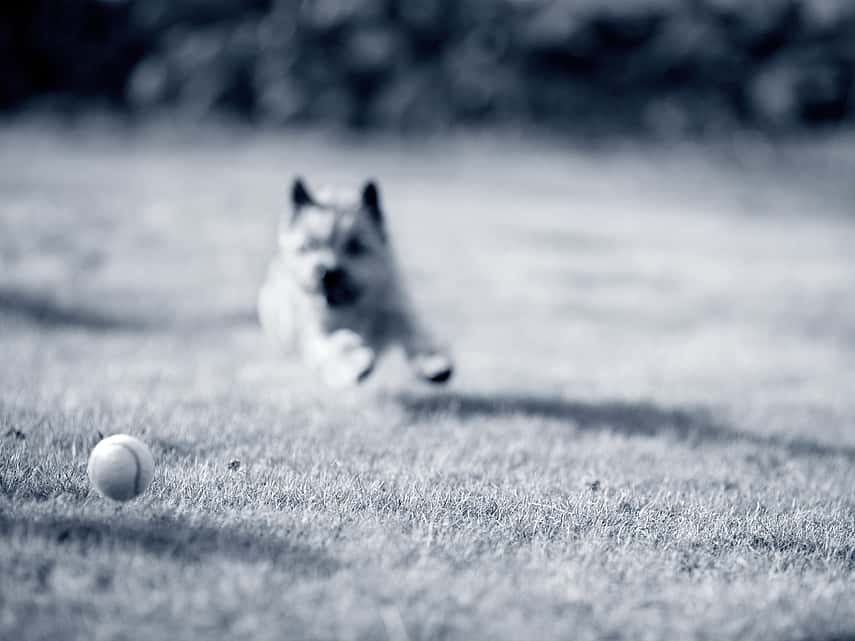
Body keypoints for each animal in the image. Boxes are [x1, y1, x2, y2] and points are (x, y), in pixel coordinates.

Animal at [258, 176, 454, 384]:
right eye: (310, 246)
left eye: (355, 246)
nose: (328, 273)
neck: (349, 307)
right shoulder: (316, 333)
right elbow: (338, 344)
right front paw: (354, 361)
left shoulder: (396, 309)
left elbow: (416, 332)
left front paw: (433, 361)